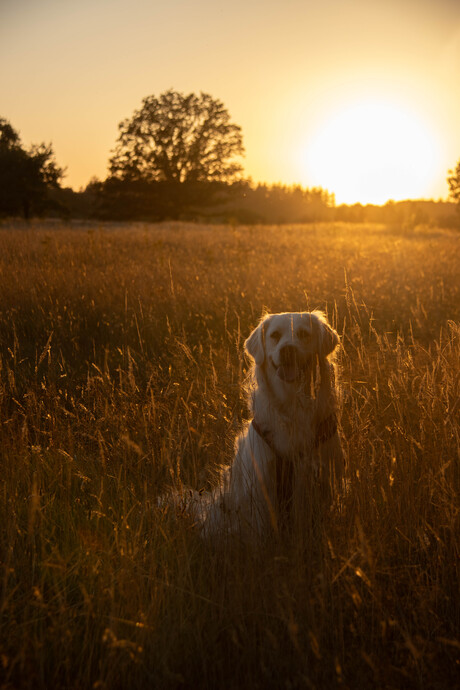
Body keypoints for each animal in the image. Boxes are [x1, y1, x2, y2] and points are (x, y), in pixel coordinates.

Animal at [165, 310, 342, 536]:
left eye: (303, 334)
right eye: (275, 335)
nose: (288, 350)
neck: (292, 403)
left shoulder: (323, 478)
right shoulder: (261, 484)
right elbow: (262, 529)